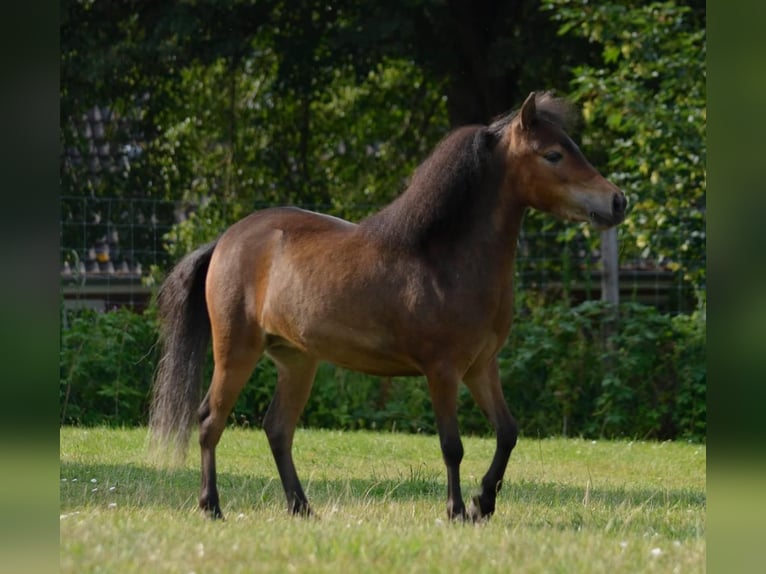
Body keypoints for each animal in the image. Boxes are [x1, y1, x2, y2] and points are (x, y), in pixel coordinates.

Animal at [148, 92, 624, 524]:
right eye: (554, 154)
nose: (617, 201)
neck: (446, 260)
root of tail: (226, 240)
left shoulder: (481, 367)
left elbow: (508, 433)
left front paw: (482, 504)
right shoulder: (443, 371)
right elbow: (452, 445)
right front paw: (456, 510)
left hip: (297, 361)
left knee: (278, 430)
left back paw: (301, 508)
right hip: (236, 351)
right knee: (210, 421)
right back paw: (212, 507)